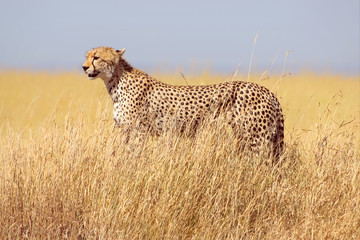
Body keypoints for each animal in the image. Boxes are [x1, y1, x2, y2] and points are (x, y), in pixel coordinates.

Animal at [82, 46, 284, 159]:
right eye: (87, 56)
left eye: (96, 57)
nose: (84, 67)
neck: (116, 81)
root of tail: (266, 90)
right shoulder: (126, 131)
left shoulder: (138, 132)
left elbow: (133, 156)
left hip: (257, 139)